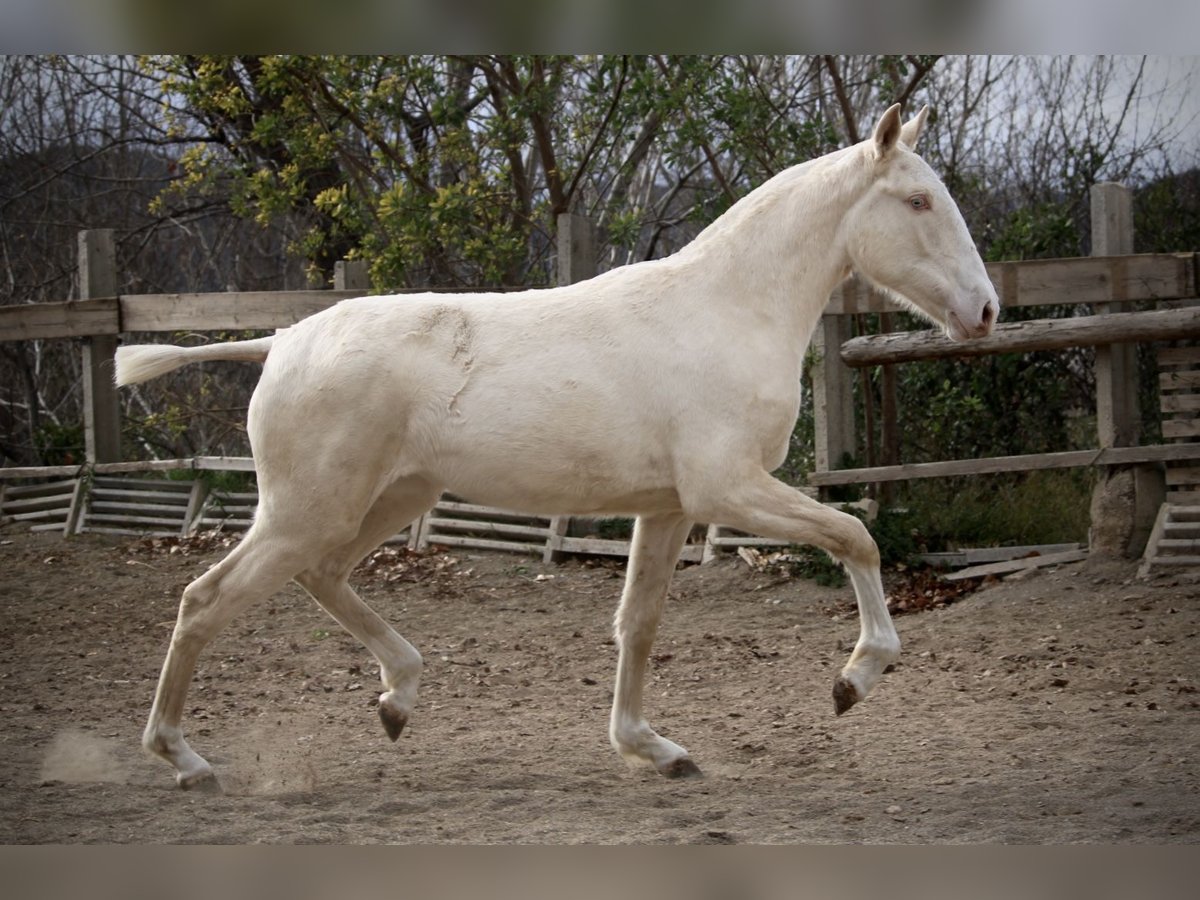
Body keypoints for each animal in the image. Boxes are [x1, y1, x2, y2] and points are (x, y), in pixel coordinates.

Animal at [114, 105, 993, 792]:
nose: (983, 312)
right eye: (918, 199)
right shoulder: (727, 489)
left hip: (385, 499)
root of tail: (282, 341)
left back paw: (397, 699)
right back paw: (185, 759)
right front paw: (856, 677)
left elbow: (638, 623)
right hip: (307, 510)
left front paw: (653, 749)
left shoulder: (669, 508)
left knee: (321, 576)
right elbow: (856, 535)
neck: (725, 311)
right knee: (206, 600)